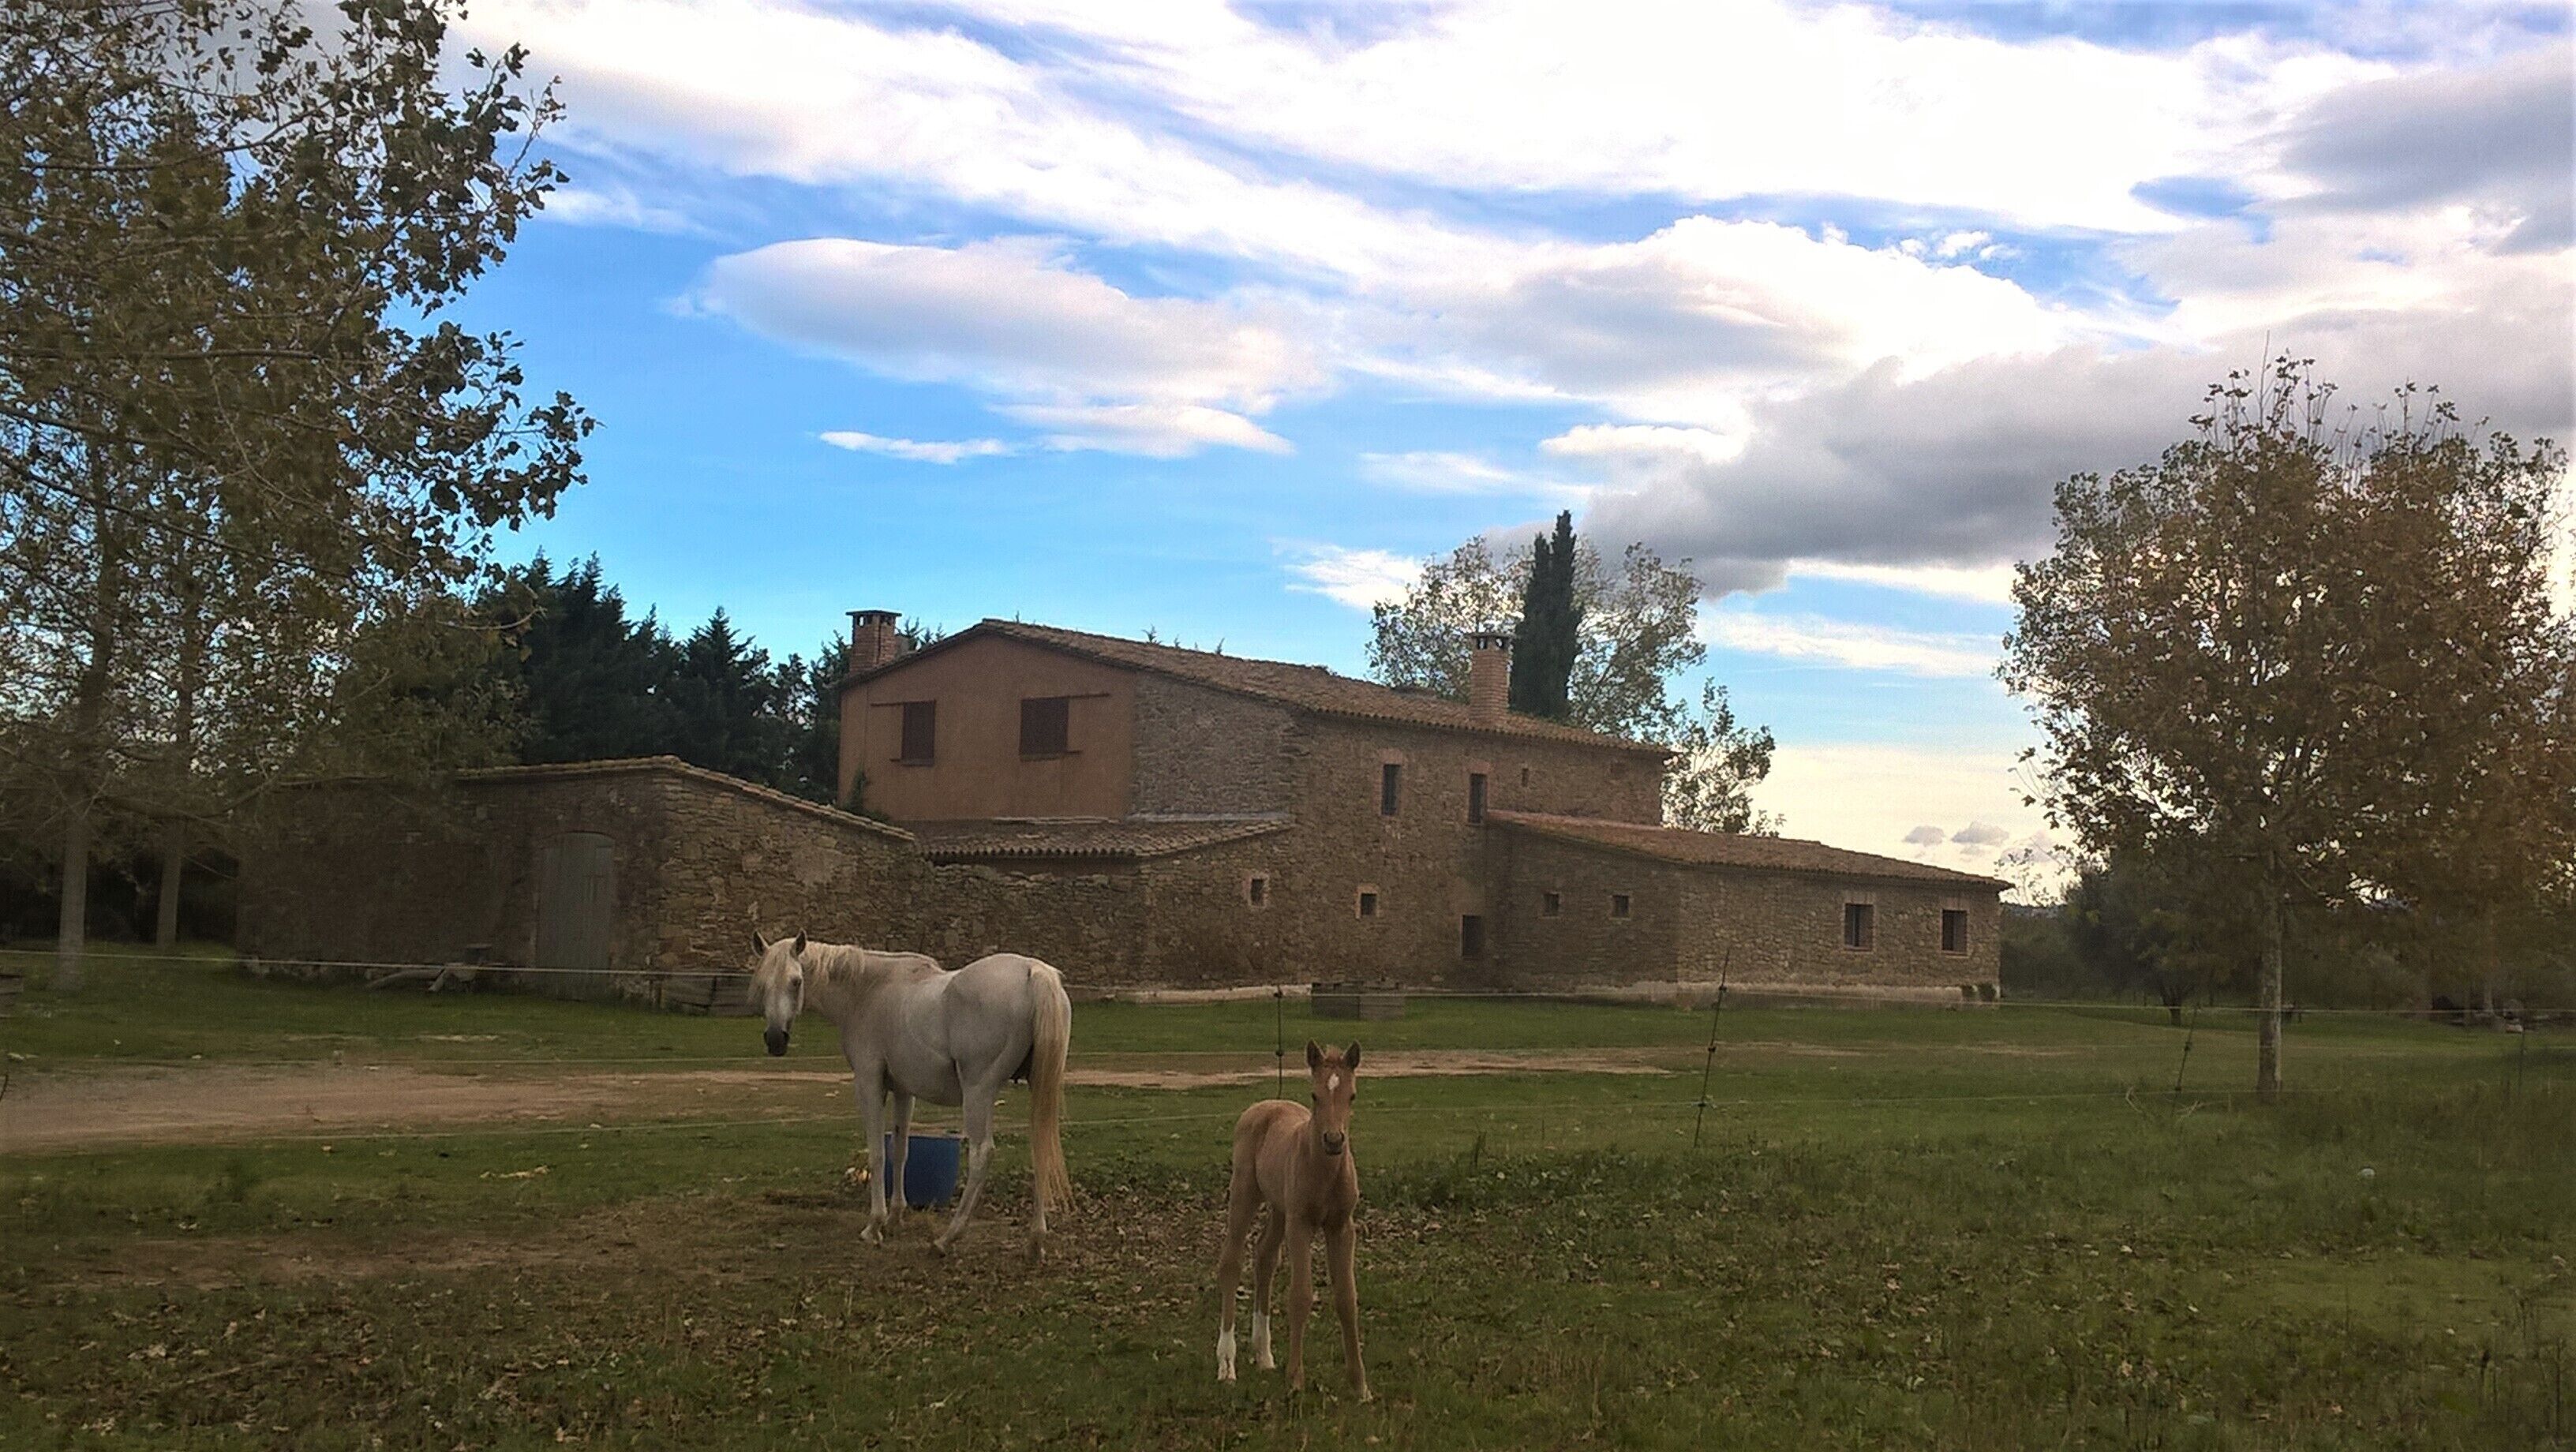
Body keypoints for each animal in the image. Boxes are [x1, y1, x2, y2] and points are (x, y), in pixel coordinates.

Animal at [747, 933, 1072, 1257]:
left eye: (796, 981)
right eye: (762, 983)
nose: (775, 1040)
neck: (868, 991)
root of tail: (1033, 971)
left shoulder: (869, 1084)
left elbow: (877, 1154)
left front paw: (874, 1226)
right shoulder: (904, 1092)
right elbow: (900, 1151)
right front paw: (895, 1217)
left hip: (978, 1093)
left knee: (982, 1154)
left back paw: (947, 1238)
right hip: (1036, 1091)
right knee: (1041, 1148)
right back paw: (1035, 1242)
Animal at [1215, 1040, 1370, 1401]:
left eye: (1352, 1095)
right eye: (1315, 1095)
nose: (1334, 1140)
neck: (1325, 1172)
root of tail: (1264, 1106)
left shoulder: (1342, 1227)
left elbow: (1347, 1298)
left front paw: (1360, 1386)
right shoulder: (1300, 1225)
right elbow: (1300, 1296)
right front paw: (1296, 1380)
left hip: (1279, 1208)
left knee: (1264, 1256)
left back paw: (1264, 1354)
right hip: (1245, 1193)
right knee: (1231, 1262)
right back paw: (1227, 1364)